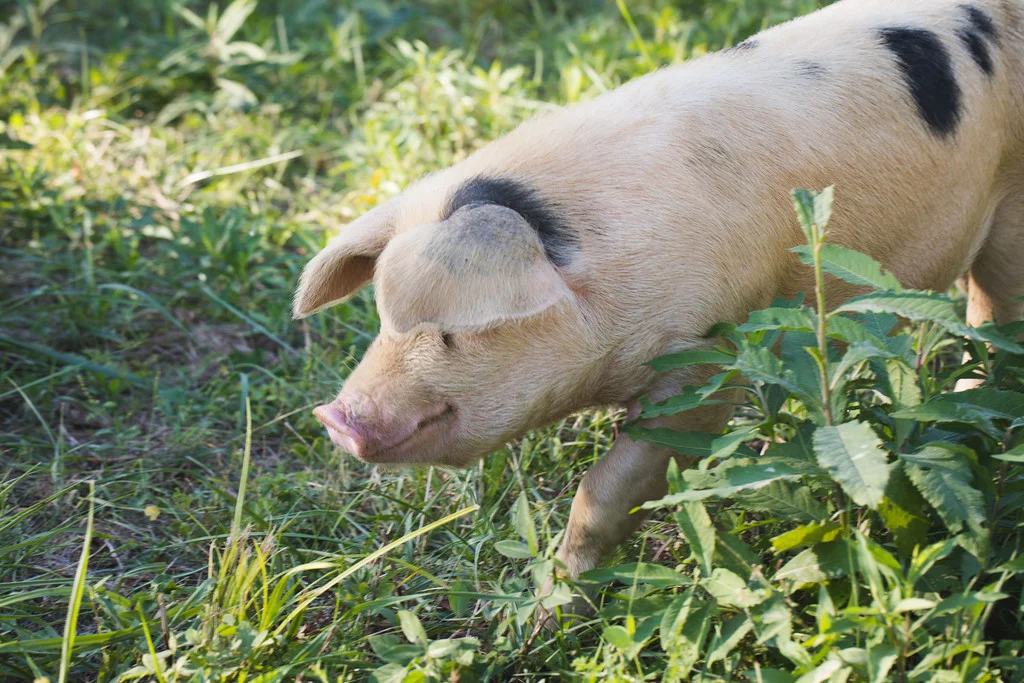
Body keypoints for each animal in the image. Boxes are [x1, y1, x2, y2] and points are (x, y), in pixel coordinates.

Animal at [294, 0, 1024, 614]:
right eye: (382, 318)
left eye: (453, 331)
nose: (336, 417)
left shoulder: (705, 359)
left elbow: (611, 486)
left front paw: (553, 611)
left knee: (995, 315)